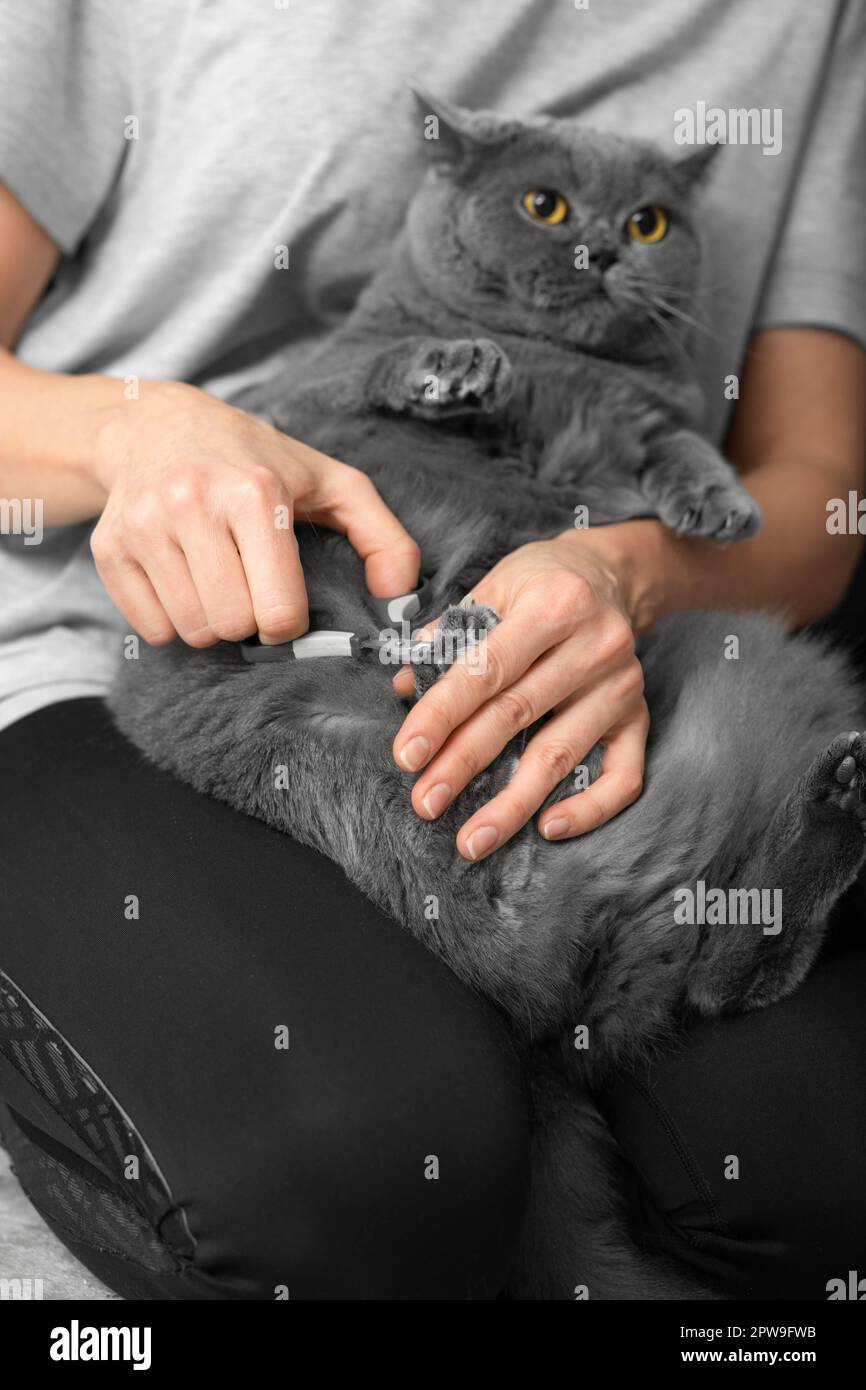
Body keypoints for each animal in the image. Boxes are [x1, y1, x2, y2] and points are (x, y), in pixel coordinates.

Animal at [111, 100, 861, 1301]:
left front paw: (721, 505)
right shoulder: (290, 407)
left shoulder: (646, 419)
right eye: (543, 205)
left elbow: (675, 443)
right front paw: (457, 372)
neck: (564, 373)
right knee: (680, 973)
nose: (599, 250)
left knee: (713, 977)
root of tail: (539, 1029)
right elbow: (361, 382)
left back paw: (830, 789)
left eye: (648, 222)